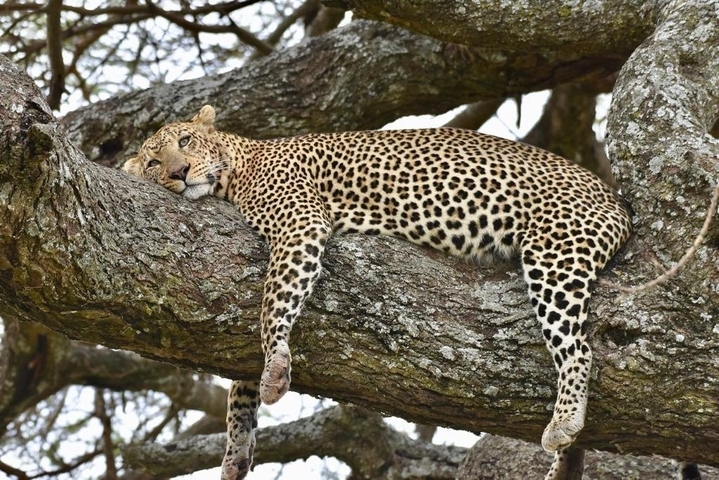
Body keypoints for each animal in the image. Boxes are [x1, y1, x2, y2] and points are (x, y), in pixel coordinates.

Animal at [123, 105, 632, 480]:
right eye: (153, 163)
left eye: (185, 142)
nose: (179, 173)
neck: (238, 168)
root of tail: (615, 199)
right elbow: (237, 381)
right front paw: (235, 449)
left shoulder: (299, 224)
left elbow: (273, 302)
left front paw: (275, 366)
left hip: (555, 253)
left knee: (578, 348)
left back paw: (564, 420)